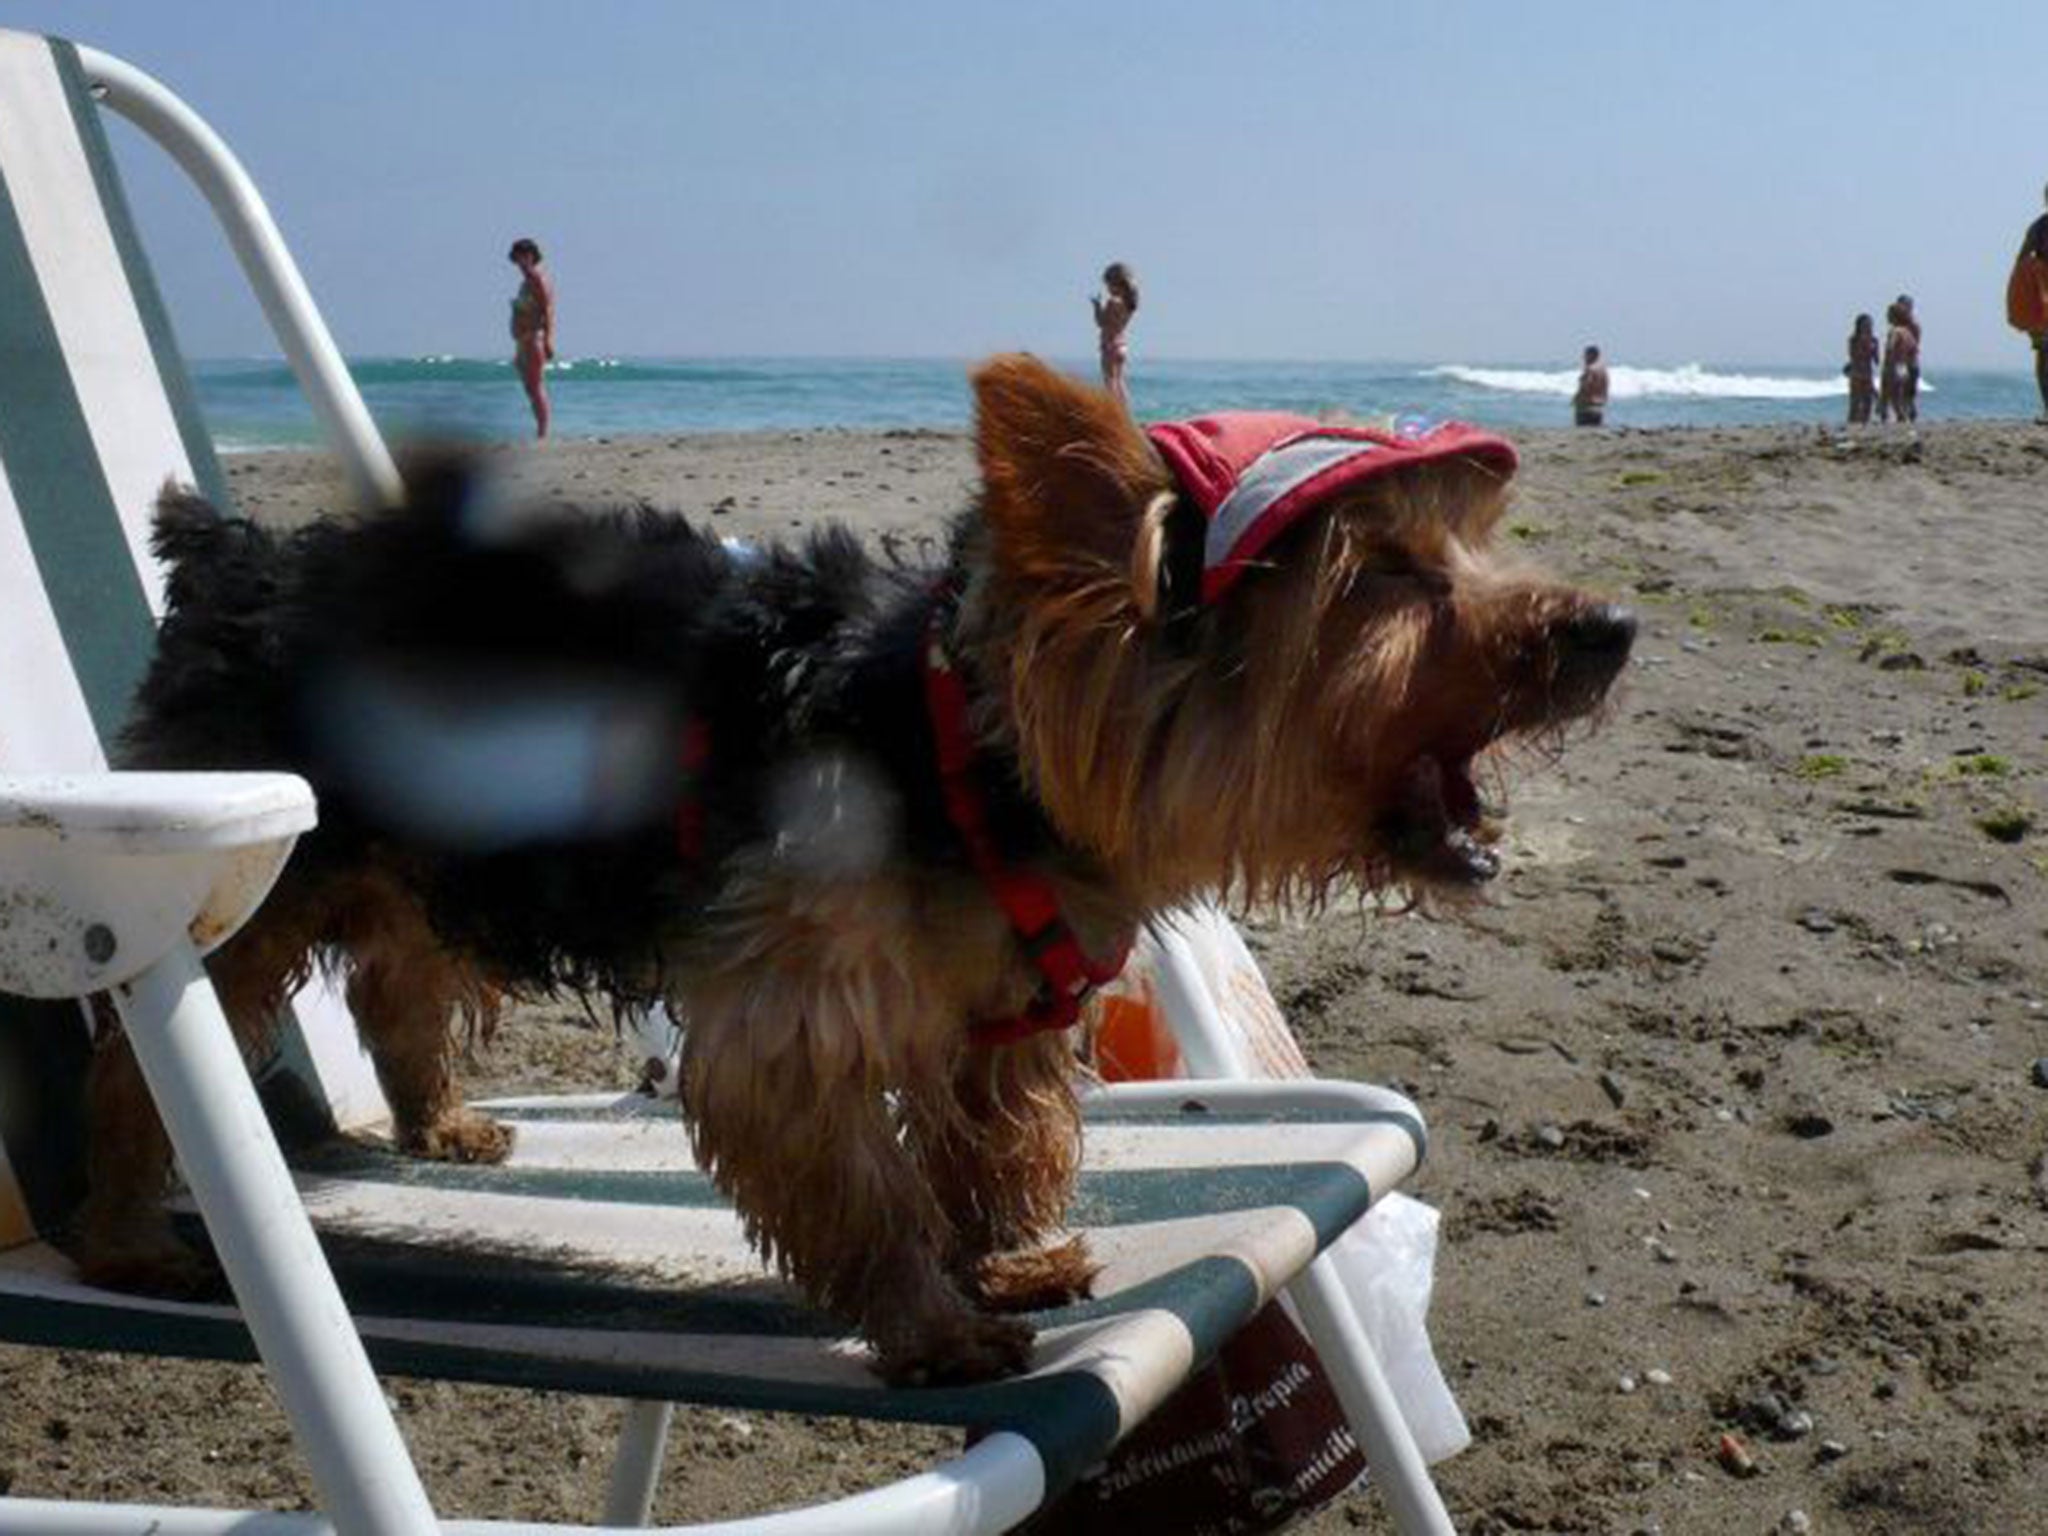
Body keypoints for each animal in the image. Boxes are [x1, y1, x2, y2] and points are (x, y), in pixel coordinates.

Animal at [88, 354, 1630, 1392]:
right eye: (1386, 580)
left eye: (1471, 544)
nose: (1609, 626)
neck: (977, 750)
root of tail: (231, 557)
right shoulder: (794, 1013)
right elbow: (862, 1177)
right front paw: (936, 1324)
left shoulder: (999, 1009)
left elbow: (995, 1139)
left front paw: (1005, 1253)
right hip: (239, 865)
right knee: (143, 1044)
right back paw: (122, 1242)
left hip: (412, 852)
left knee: (400, 975)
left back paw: (436, 1121)